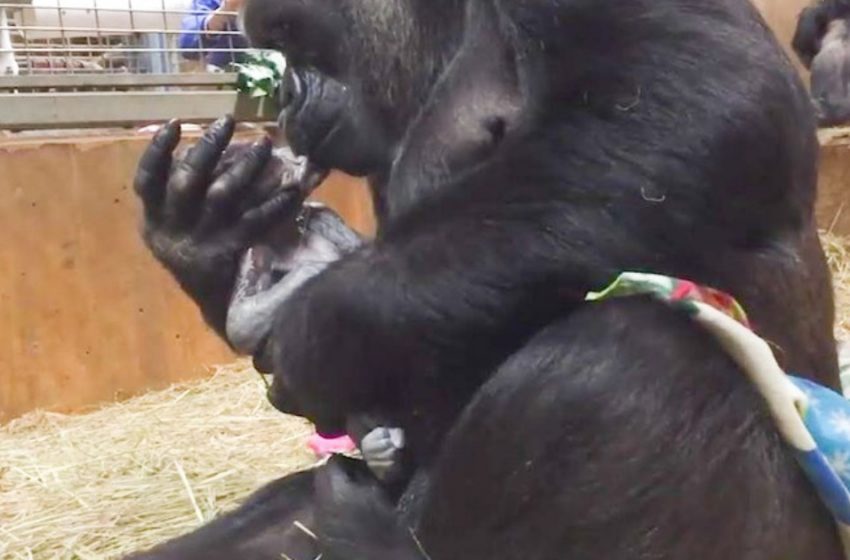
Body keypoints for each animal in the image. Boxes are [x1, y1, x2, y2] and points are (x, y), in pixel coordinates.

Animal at [134, 0, 840, 556]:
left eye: (287, 32)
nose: (284, 97)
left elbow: (702, 106)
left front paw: (317, 329)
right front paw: (206, 239)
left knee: (632, 356)